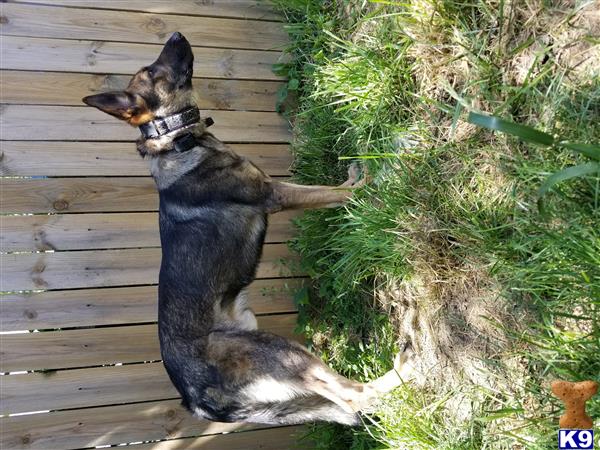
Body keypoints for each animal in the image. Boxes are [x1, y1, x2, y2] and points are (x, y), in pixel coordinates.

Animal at [83, 31, 412, 426]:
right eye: (151, 70)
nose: (177, 34)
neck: (176, 141)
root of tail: (196, 401)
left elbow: (333, 189)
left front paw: (357, 176)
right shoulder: (274, 194)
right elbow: (333, 195)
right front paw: (377, 181)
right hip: (278, 351)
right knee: (354, 397)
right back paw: (409, 365)